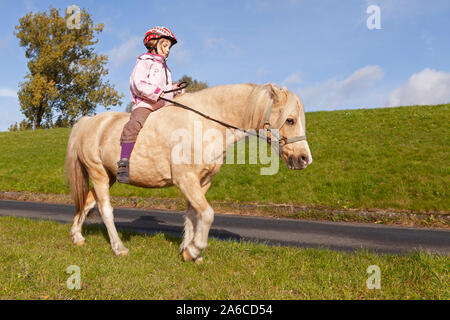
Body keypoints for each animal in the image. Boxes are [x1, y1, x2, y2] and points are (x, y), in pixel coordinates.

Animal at [65, 82, 312, 262]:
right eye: (290, 120)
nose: (304, 159)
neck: (205, 124)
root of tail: (88, 122)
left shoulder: (202, 182)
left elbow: (193, 215)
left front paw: (188, 249)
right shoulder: (186, 180)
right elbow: (207, 214)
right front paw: (194, 250)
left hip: (109, 176)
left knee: (87, 201)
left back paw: (77, 236)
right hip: (98, 173)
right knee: (106, 209)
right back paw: (118, 247)